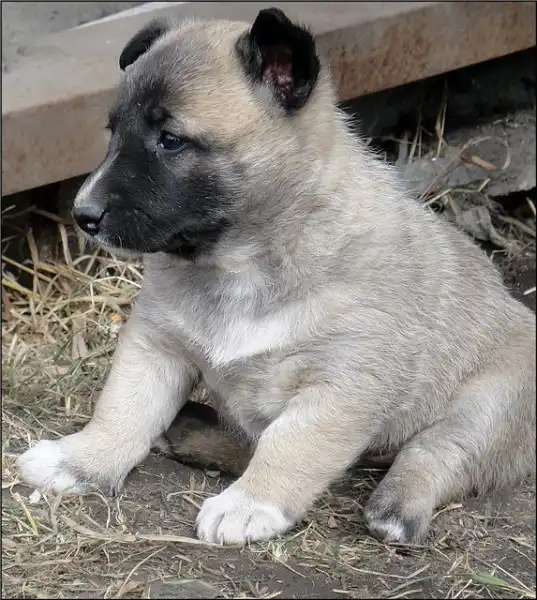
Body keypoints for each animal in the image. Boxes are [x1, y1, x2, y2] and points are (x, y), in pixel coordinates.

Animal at [17, 8, 536, 545]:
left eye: (172, 141)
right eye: (113, 132)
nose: (83, 214)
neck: (241, 262)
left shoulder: (341, 384)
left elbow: (290, 445)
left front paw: (250, 503)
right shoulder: (155, 343)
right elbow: (124, 407)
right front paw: (81, 461)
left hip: (488, 404)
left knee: (437, 451)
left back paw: (397, 506)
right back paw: (192, 431)